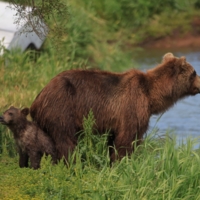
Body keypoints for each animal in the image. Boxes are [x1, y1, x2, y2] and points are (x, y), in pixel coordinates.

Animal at [29, 53, 200, 162]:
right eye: (195, 72)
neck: (151, 95)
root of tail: (38, 98)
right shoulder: (132, 107)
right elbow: (127, 139)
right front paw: (123, 163)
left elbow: (113, 142)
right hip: (61, 109)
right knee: (66, 140)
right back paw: (72, 163)